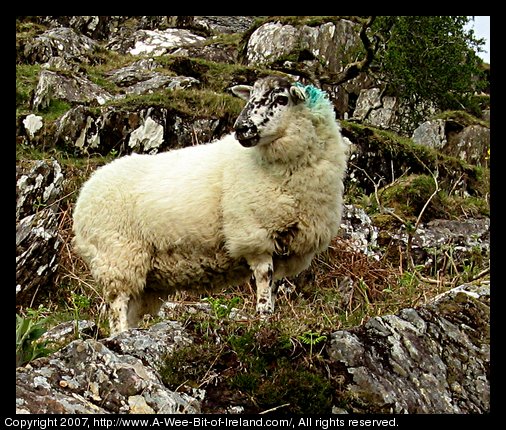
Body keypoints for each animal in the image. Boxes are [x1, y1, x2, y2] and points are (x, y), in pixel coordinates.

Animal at [73, 75, 348, 334]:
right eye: (251, 96)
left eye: (281, 99)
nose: (241, 129)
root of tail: (85, 193)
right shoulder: (254, 235)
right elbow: (263, 280)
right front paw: (263, 319)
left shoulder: (285, 247)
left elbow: (273, 286)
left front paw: (271, 317)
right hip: (117, 255)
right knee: (117, 305)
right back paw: (121, 335)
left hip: (143, 274)